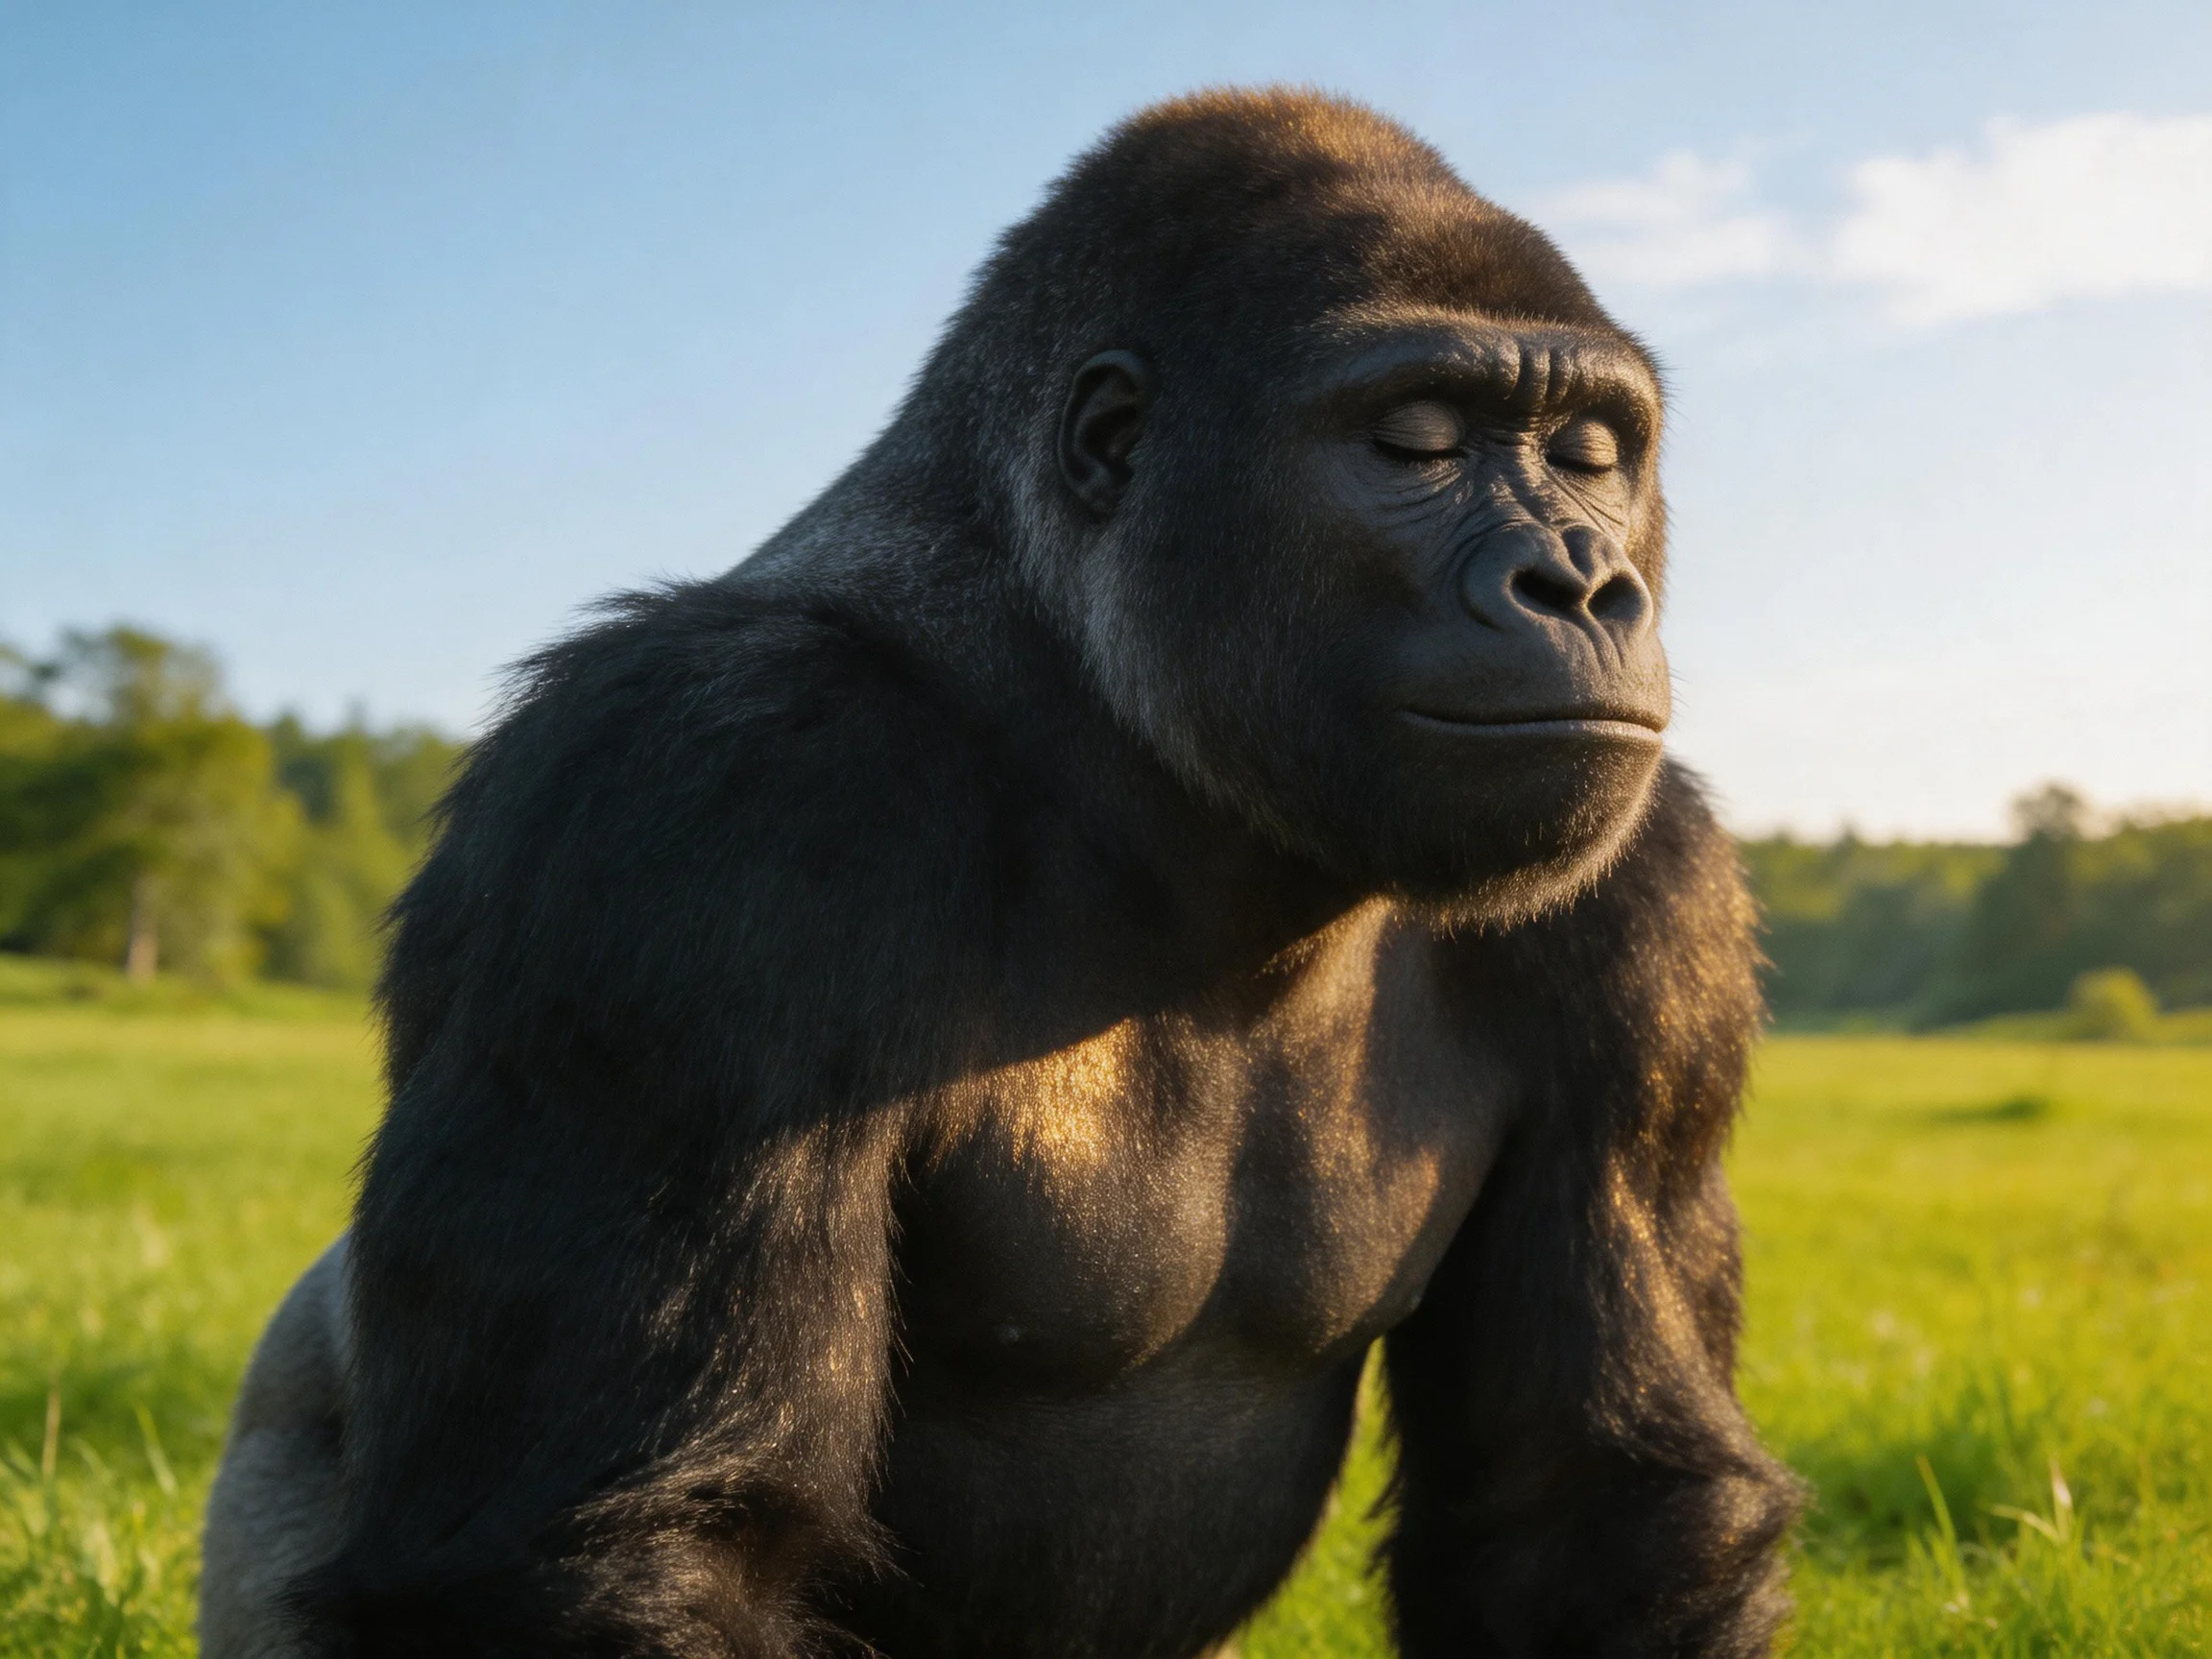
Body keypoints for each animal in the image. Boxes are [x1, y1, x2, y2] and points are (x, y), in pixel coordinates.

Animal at [202, 88, 1801, 1658]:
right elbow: (630, 1542)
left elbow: (1589, 1505)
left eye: (1591, 453)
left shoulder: (1650, 901)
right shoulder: (704, 789)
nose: (1581, 581)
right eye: (1415, 443)